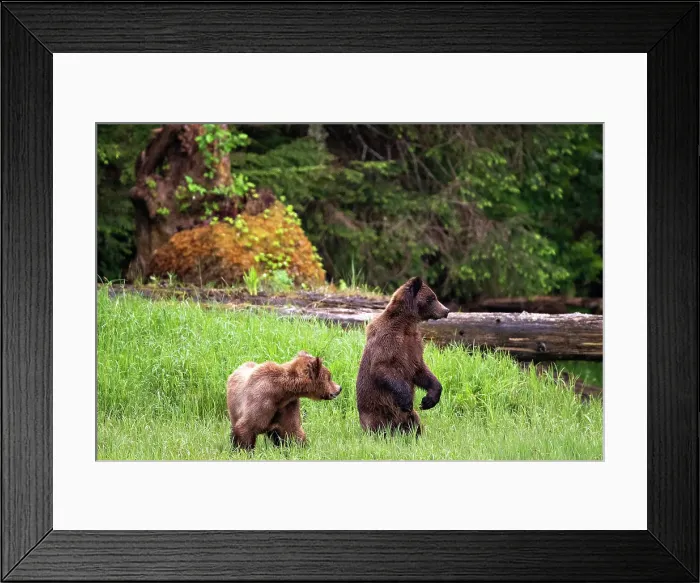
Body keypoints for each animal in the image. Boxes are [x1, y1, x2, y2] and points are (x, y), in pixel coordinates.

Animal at [355, 277, 449, 435]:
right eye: (432, 298)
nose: (446, 310)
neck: (406, 325)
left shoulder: (414, 344)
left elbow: (421, 370)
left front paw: (428, 400)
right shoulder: (388, 340)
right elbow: (382, 367)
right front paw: (406, 400)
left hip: (410, 417)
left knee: (415, 423)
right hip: (376, 413)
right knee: (378, 426)